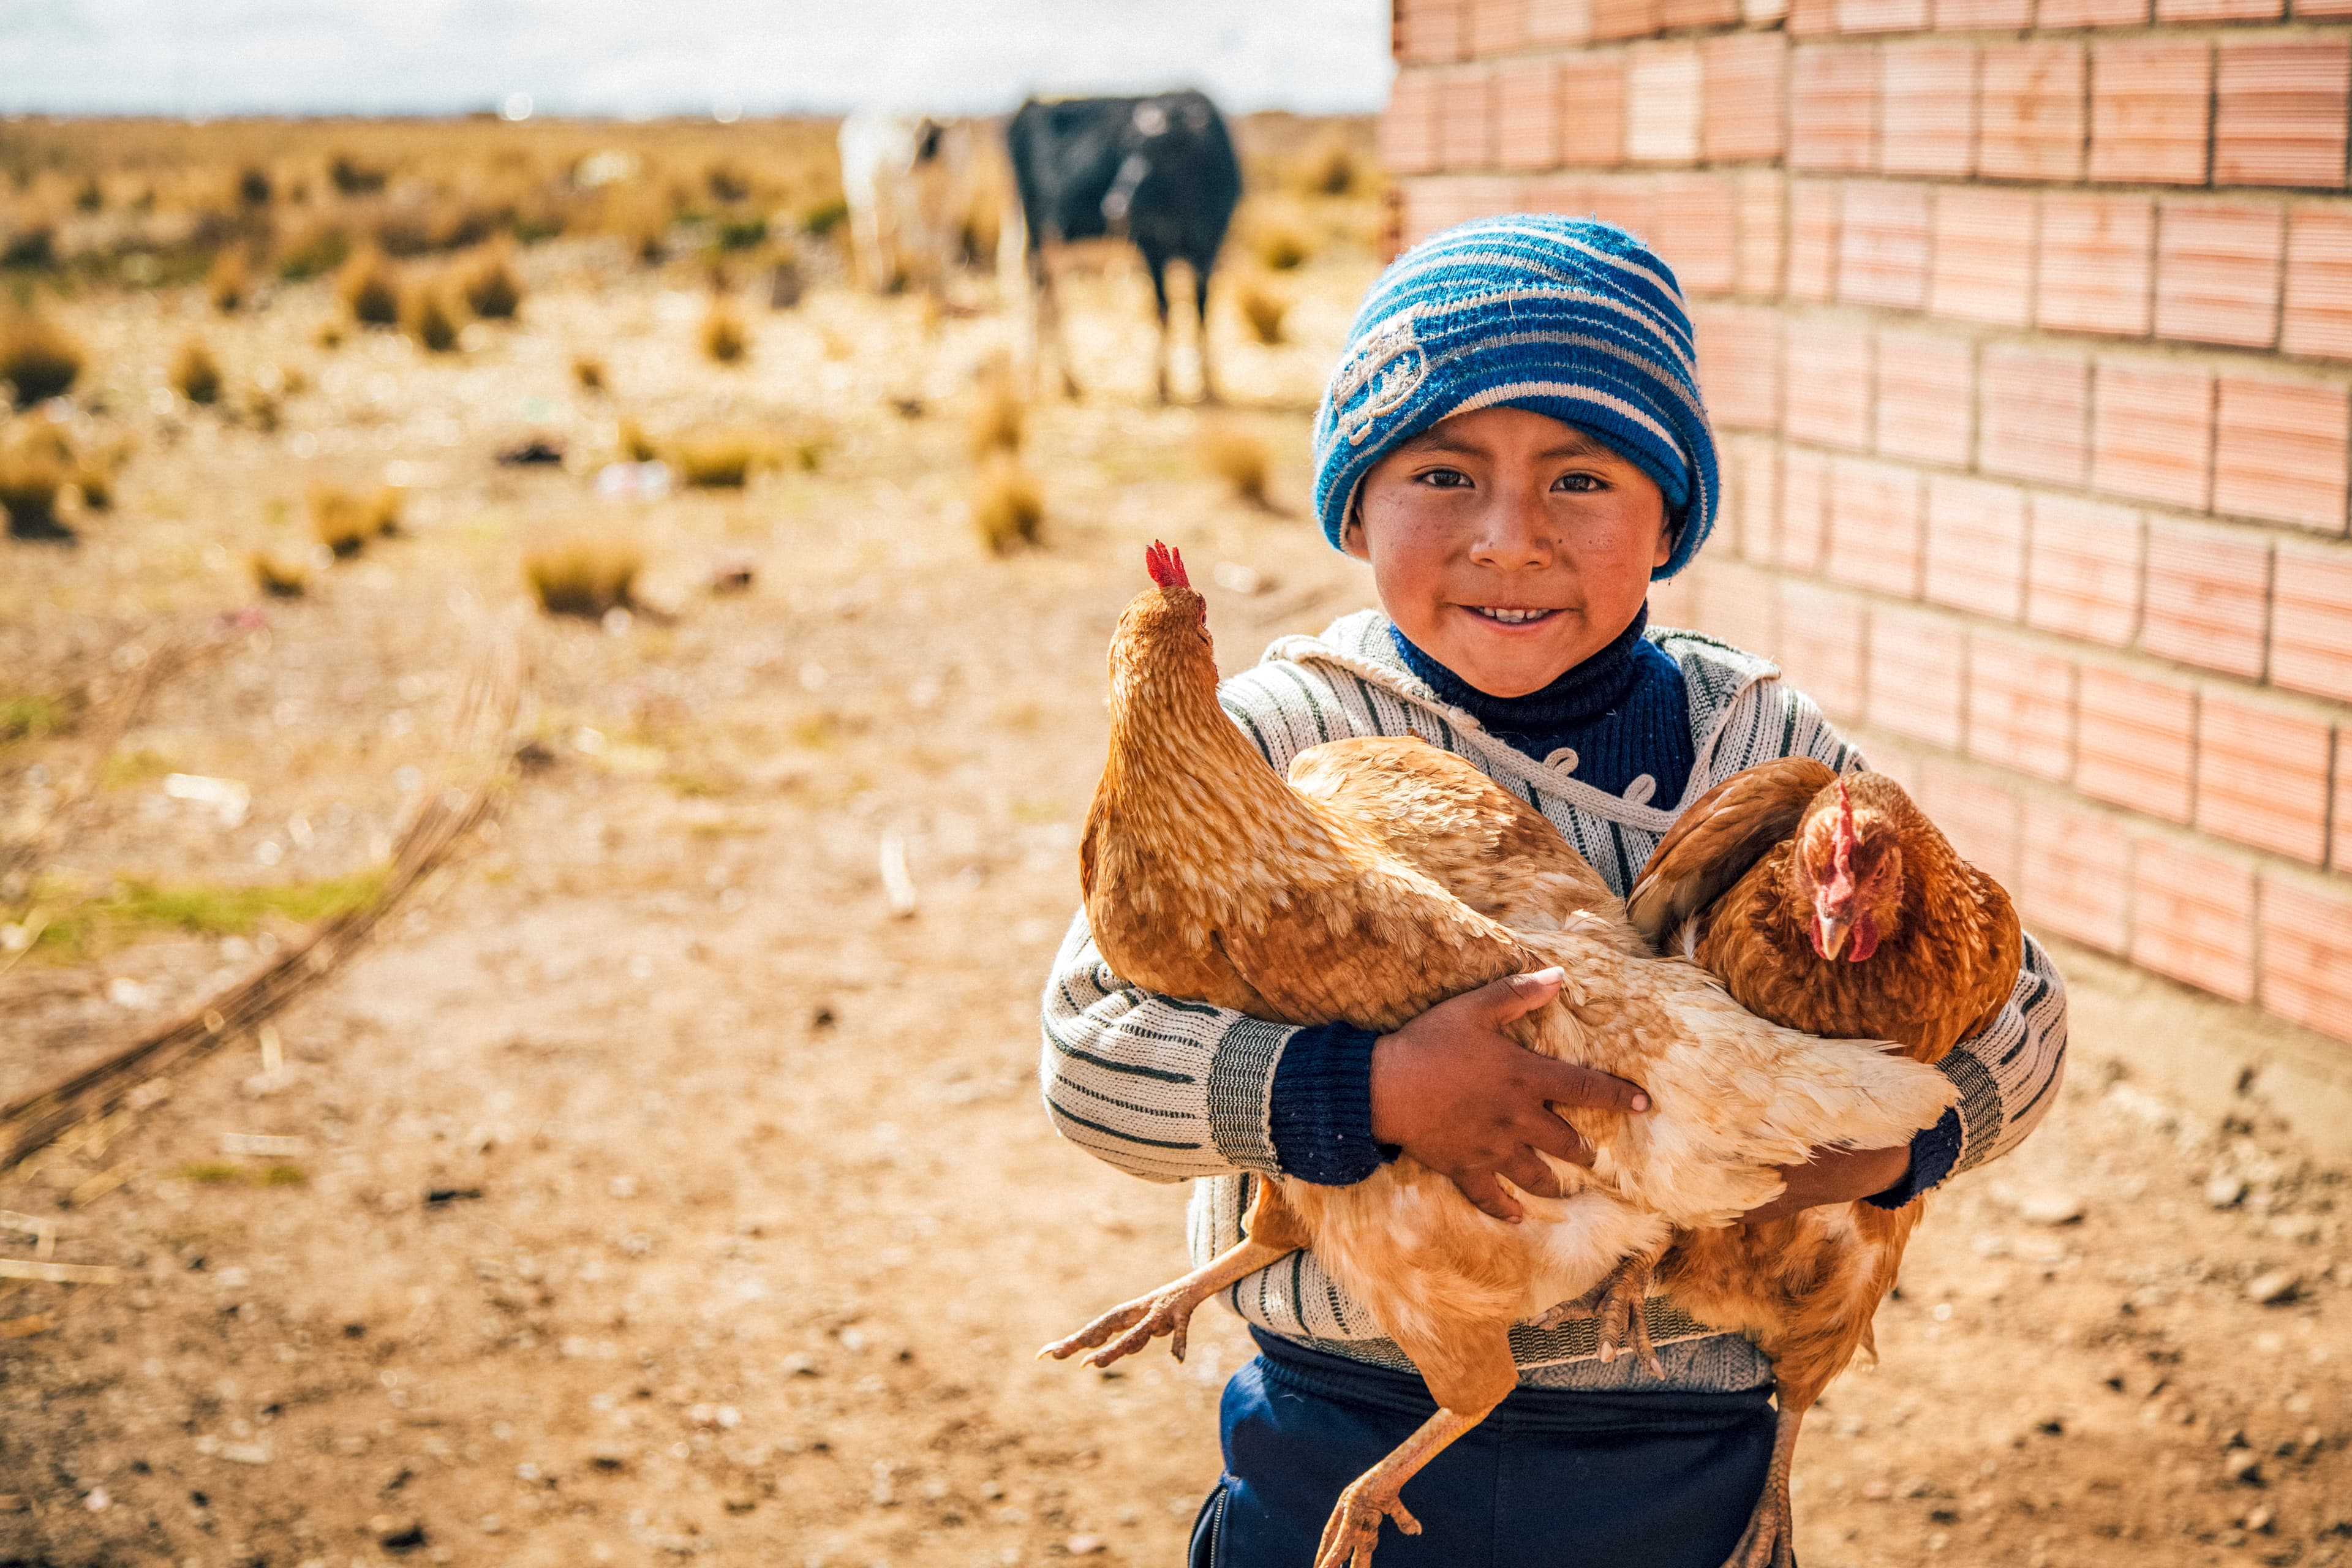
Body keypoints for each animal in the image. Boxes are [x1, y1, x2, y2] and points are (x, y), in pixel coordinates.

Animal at [1005, 91, 1243, 405]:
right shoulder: (1153, 249)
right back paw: (1035, 380)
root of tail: (1029, 106)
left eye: (1164, 152)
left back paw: (1067, 382)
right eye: (1130, 151)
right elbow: (1163, 310)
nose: (1116, 206)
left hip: (1053, 242)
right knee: (1037, 300)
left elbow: (1203, 310)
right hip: (1036, 234)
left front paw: (1208, 384)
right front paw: (1161, 384)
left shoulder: (1209, 249)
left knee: (1048, 297)